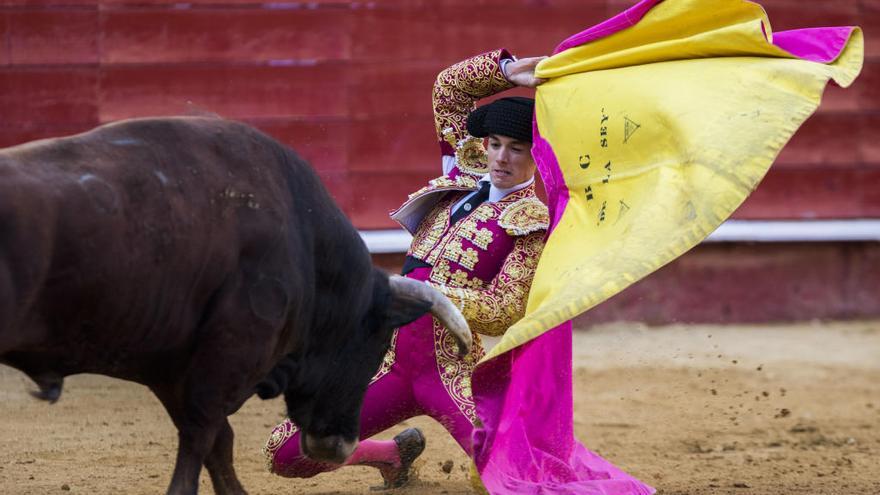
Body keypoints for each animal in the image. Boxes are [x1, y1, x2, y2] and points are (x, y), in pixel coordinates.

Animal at [0, 117, 474, 495]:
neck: (305, 244)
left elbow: (218, 445)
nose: (337, 445)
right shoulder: (225, 360)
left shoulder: (179, 369)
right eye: (374, 346)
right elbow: (201, 444)